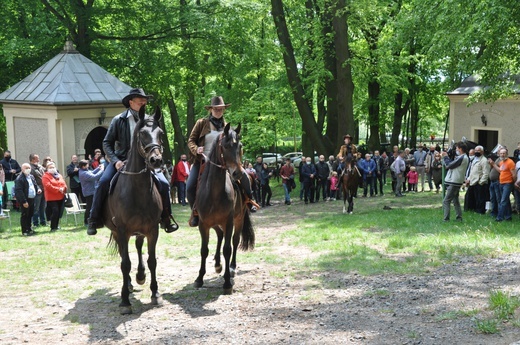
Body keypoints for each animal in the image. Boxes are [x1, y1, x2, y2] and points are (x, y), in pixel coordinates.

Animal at [104, 105, 165, 314]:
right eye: (142, 134)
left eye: (161, 133)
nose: (156, 160)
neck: (137, 190)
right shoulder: (122, 230)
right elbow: (125, 263)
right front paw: (124, 301)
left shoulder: (153, 229)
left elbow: (152, 260)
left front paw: (155, 294)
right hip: (117, 232)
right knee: (125, 255)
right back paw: (130, 284)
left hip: (140, 230)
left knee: (138, 247)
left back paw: (139, 276)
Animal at [194, 122, 255, 294]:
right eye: (226, 146)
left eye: (240, 146)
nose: (238, 173)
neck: (214, 192)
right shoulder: (203, 224)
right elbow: (204, 250)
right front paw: (199, 278)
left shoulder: (229, 221)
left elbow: (227, 249)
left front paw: (227, 282)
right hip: (214, 223)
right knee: (220, 235)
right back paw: (217, 263)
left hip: (238, 219)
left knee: (234, 241)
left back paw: (231, 267)